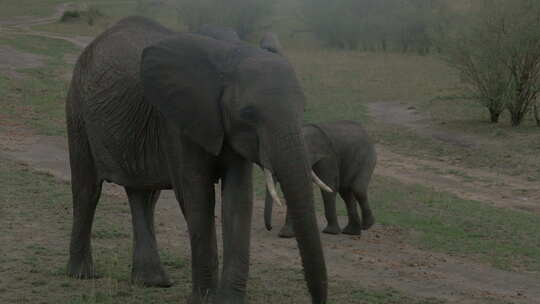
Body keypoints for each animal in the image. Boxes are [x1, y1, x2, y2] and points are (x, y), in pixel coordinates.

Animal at [65, 17, 326, 304]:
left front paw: (229, 300)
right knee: (88, 190)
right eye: (248, 113)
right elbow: (197, 196)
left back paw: (152, 282)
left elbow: (238, 200)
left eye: (303, 108)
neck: (230, 53)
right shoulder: (178, 122)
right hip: (77, 109)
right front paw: (205, 299)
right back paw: (81, 275)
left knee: (144, 196)